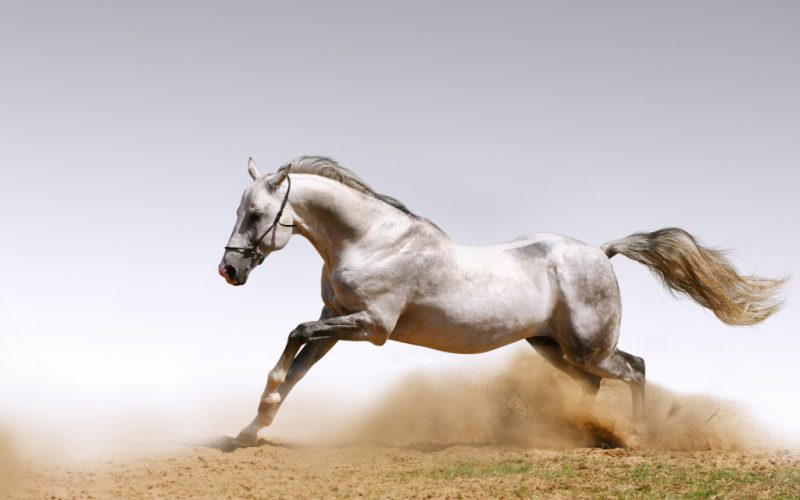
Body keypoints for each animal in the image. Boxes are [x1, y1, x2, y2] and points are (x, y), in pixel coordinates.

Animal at [219, 156, 786, 447]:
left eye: (256, 214)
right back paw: (579, 433)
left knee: (636, 368)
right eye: (241, 210)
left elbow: (293, 338)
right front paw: (250, 430)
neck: (371, 240)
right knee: (594, 385)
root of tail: (601, 252)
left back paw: (636, 436)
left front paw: (256, 417)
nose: (229, 270)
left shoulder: (371, 326)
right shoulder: (336, 318)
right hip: (551, 346)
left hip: (589, 347)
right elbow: (296, 368)